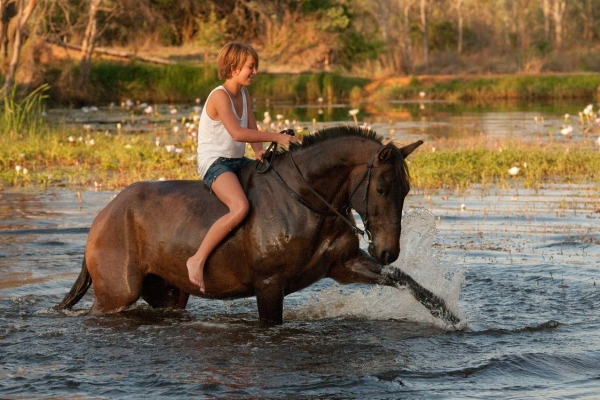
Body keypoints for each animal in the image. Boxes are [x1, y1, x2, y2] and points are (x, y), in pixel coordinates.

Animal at [56, 126, 460, 326]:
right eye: (380, 188)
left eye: (406, 190)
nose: (388, 250)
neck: (307, 202)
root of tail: (103, 216)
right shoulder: (269, 284)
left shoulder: (344, 266)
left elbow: (406, 281)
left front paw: (451, 317)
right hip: (116, 295)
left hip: (168, 293)